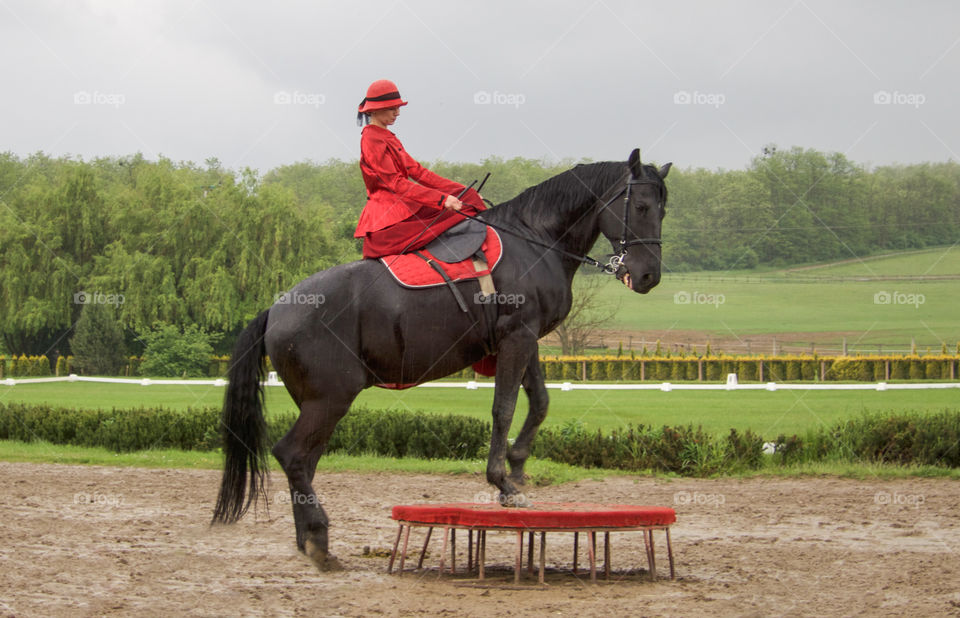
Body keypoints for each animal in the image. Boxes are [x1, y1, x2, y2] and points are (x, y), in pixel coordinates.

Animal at [212, 148, 671, 570]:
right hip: (330, 399)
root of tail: (277, 309)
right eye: (641, 207)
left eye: (663, 209)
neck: (534, 240)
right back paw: (319, 539)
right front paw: (502, 483)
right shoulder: (517, 337)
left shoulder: (527, 339)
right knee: (292, 455)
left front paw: (518, 466)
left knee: (304, 462)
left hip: (316, 403)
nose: (649, 276)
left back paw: (307, 538)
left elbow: (539, 402)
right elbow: (504, 408)